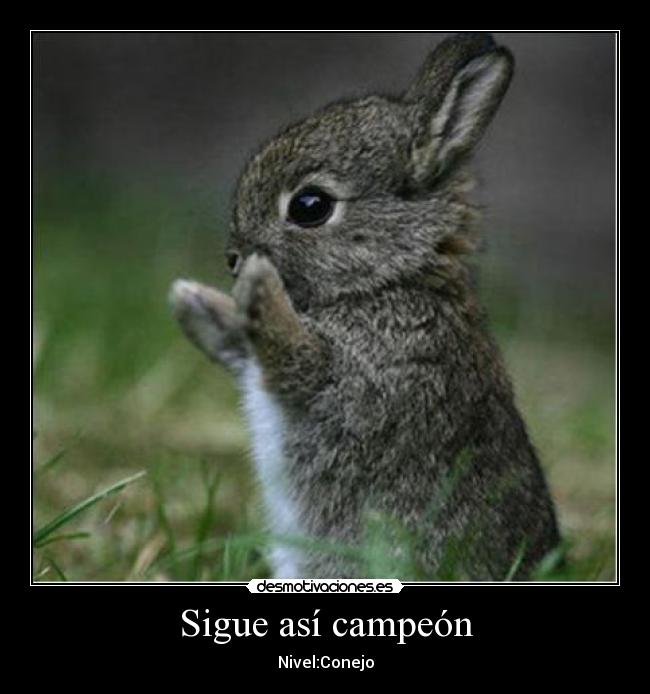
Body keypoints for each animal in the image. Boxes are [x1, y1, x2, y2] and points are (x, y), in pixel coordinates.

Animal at [170, 32, 561, 580]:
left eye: (310, 206)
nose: (233, 258)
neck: (389, 281)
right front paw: (192, 300)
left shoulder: (360, 379)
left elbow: (295, 357)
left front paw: (258, 285)